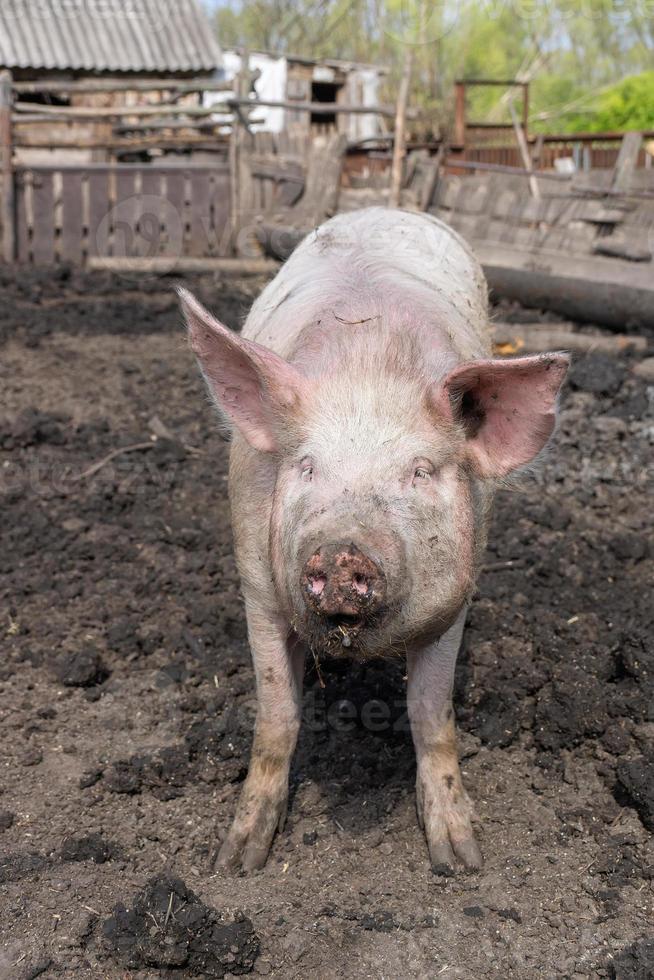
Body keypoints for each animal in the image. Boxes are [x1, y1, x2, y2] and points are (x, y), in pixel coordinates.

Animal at [179, 207, 568, 872]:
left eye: (421, 470)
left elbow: (431, 713)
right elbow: (276, 717)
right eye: (307, 466)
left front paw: (460, 858)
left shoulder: (456, 597)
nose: (342, 552)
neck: (369, 368)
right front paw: (236, 860)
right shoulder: (256, 584)